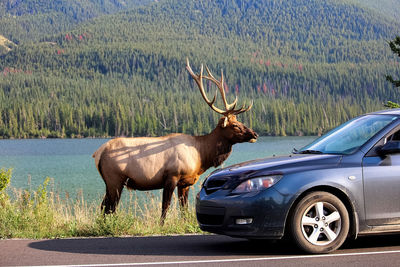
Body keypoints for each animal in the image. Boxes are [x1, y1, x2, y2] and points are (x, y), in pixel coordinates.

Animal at [92, 59, 258, 223]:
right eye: (235, 125)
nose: (254, 134)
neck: (201, 156)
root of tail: (98, 153)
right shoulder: (172, 176)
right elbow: (165, 206)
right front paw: (161, 225)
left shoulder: (185, 183)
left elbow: (184, 209)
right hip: (115, 180)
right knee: (109, 207)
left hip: (111, 182)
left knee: (104, 206)